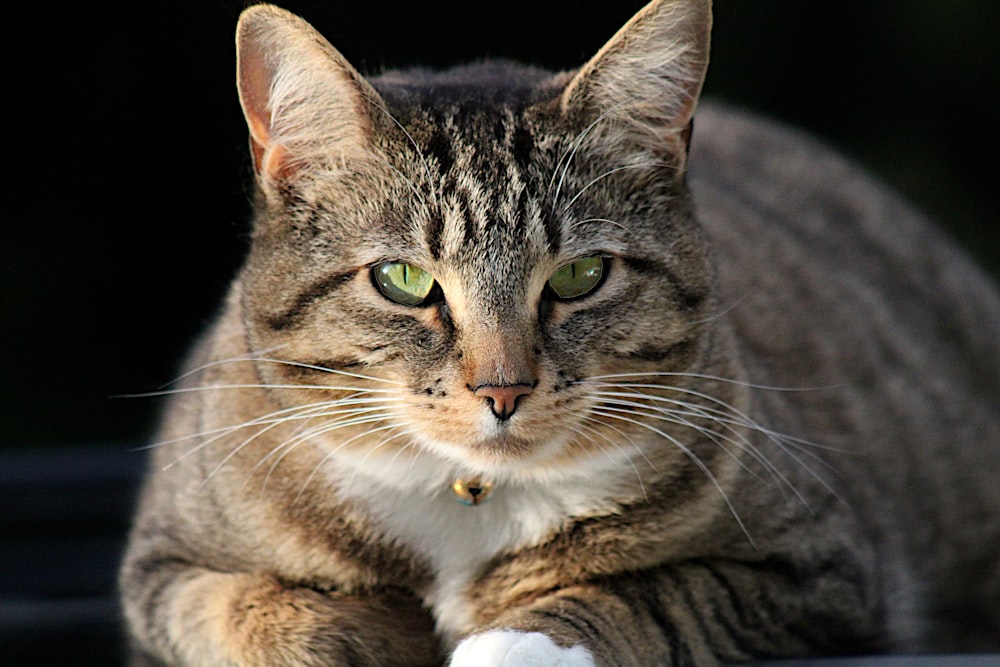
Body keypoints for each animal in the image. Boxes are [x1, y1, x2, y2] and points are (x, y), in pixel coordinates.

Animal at [121, 0, 1000, 664]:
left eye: (580, 276)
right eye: (402, 280)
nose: (503, 388)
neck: (467, 492)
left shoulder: (818, 567)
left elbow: (654, 593)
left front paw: (509, 639)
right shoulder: (164, 566)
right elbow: (250, 609)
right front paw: (366, 632)